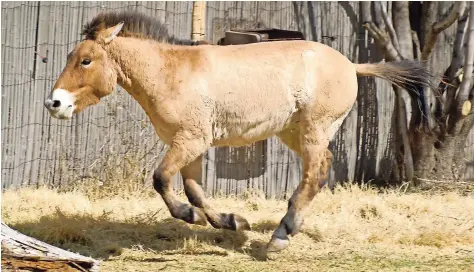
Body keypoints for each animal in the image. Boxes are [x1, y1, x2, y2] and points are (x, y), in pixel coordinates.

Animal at [43, 11, 434, 252]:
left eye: (86, 60)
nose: (54, 103)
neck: (170, 73)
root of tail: (352, 65)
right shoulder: (189, 145)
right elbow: (194, 189)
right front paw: (231, 221)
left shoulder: (190, 141)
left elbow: (161, 179)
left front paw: (190, 217)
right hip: (293, 133)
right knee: (321, 171)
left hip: (313, 131)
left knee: (314, 174)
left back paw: (280, 237)